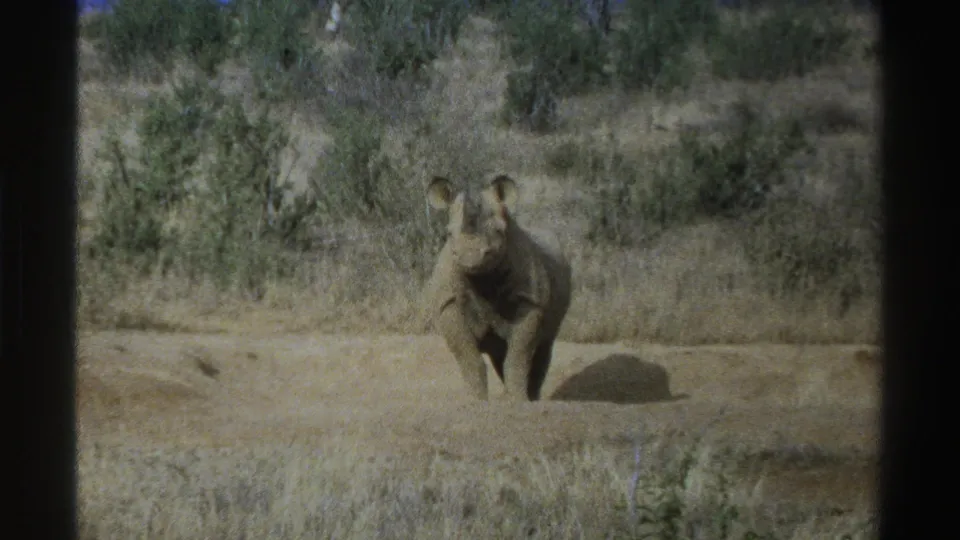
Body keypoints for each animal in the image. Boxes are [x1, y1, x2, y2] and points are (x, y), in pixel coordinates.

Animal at [422, 174, 573, 402]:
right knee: (499, 354)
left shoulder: (530, 300)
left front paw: (518, 401)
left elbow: (518, 356)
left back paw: (532, 399)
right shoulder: (448, 302)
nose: (470, 256)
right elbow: (469, 358)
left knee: (543, 347)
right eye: (448, 234)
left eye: (499, 231)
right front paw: (475, 402)